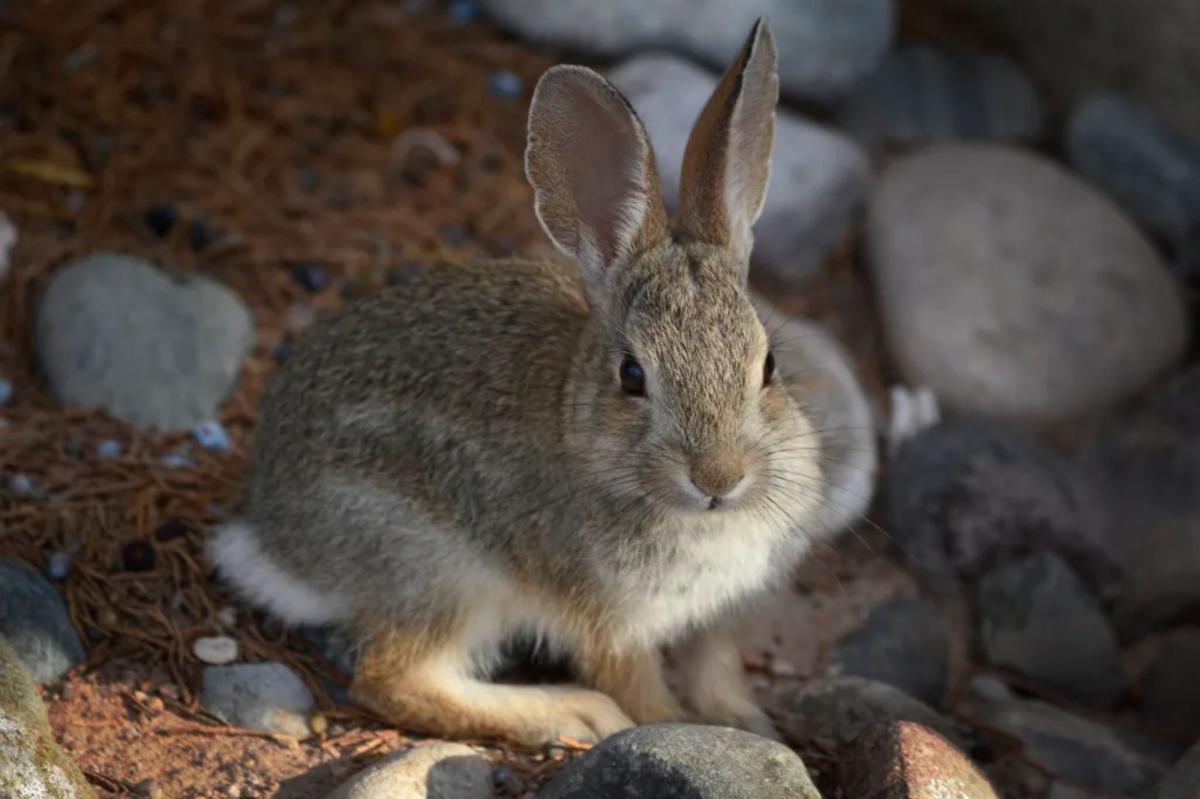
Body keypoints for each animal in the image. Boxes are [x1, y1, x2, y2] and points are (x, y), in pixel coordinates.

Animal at [210, 18, 856, 747]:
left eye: (768, 366)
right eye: (632, 375)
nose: (719, 478)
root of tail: (274, 538)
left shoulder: (719, 618)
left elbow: (716, 670)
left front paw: (750, 725)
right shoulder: (611, 624)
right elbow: (643, 694)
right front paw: (675, 726)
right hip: (444, 571)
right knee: (393, 679)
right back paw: (571, 713)